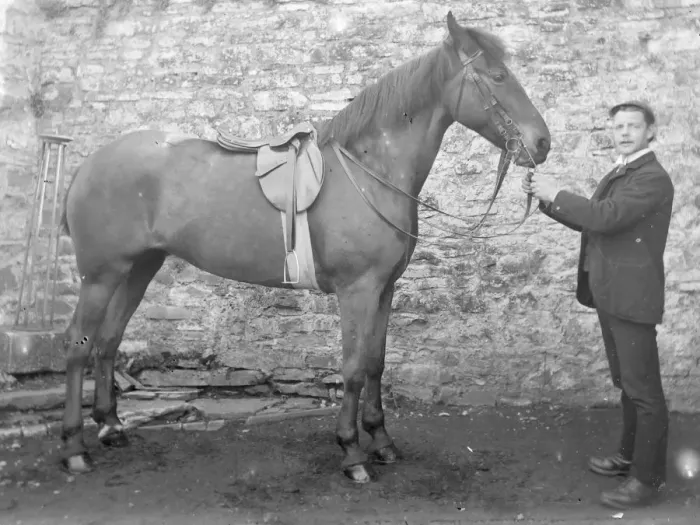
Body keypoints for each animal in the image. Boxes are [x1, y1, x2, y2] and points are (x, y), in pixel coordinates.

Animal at [58, 12, 550, 483]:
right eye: (497, 75)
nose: (542, 142)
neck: (372, 170)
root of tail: (90, 163)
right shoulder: (358, 291)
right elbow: (353, 367)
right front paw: (352, 452)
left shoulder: (384, 289)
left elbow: (377, 362)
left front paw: (382, 441)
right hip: (100, 275)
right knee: (79, 344)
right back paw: (74, 447)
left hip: (140, 267)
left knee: (108, 340)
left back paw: (111, 427)